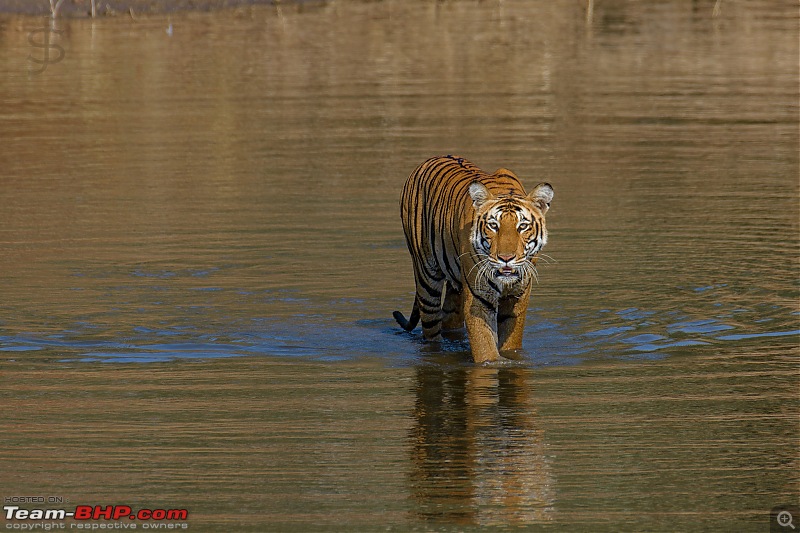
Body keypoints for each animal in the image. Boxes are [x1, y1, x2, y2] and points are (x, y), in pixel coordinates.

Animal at [390, 154, 552, 362]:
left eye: (522, 226)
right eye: (493, 225)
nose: (506, 258)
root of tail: (427, 161)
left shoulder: (518, 297)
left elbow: (511, 342)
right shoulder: (478, 298)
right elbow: (485, 348)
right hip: (426, 279)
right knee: (431, 330)